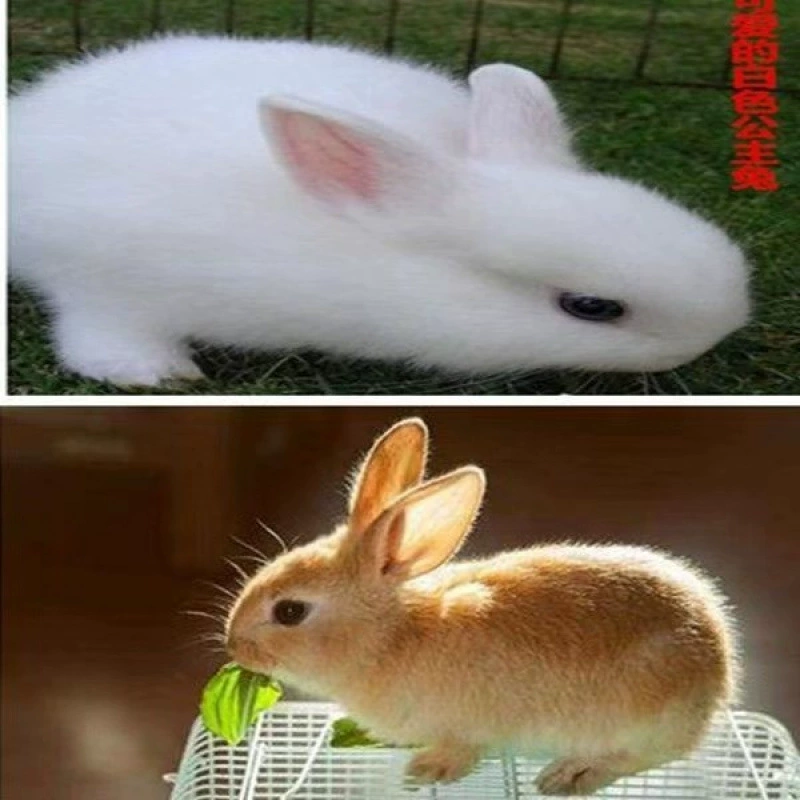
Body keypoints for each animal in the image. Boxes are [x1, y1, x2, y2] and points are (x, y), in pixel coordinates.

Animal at [226, 417, 739, 795]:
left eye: (289, 612)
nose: (233, 645)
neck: (391, 635)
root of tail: (718, 672)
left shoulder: (467, 731)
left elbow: (462, 752)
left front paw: (426, 771)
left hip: (639, 721)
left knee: (635, 759)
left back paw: (568, 776)